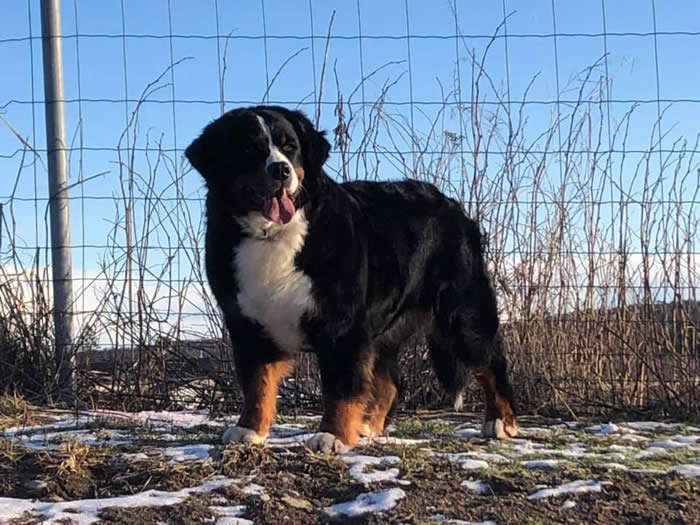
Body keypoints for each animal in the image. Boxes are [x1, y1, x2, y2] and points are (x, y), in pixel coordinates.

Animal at [183, 104, 516, 452]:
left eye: (291, 147)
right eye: (250, 148)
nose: (281, 170)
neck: (271, 236)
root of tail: (452, 204)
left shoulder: (341, 325)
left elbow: (341, 387)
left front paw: (333, 435)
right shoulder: (248, 324)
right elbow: (256, 384)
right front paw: (249, 429)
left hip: (463, 315)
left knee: (493, 365)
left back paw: (500, 422)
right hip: (384, 330)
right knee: (391, 383)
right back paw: (368, 427)